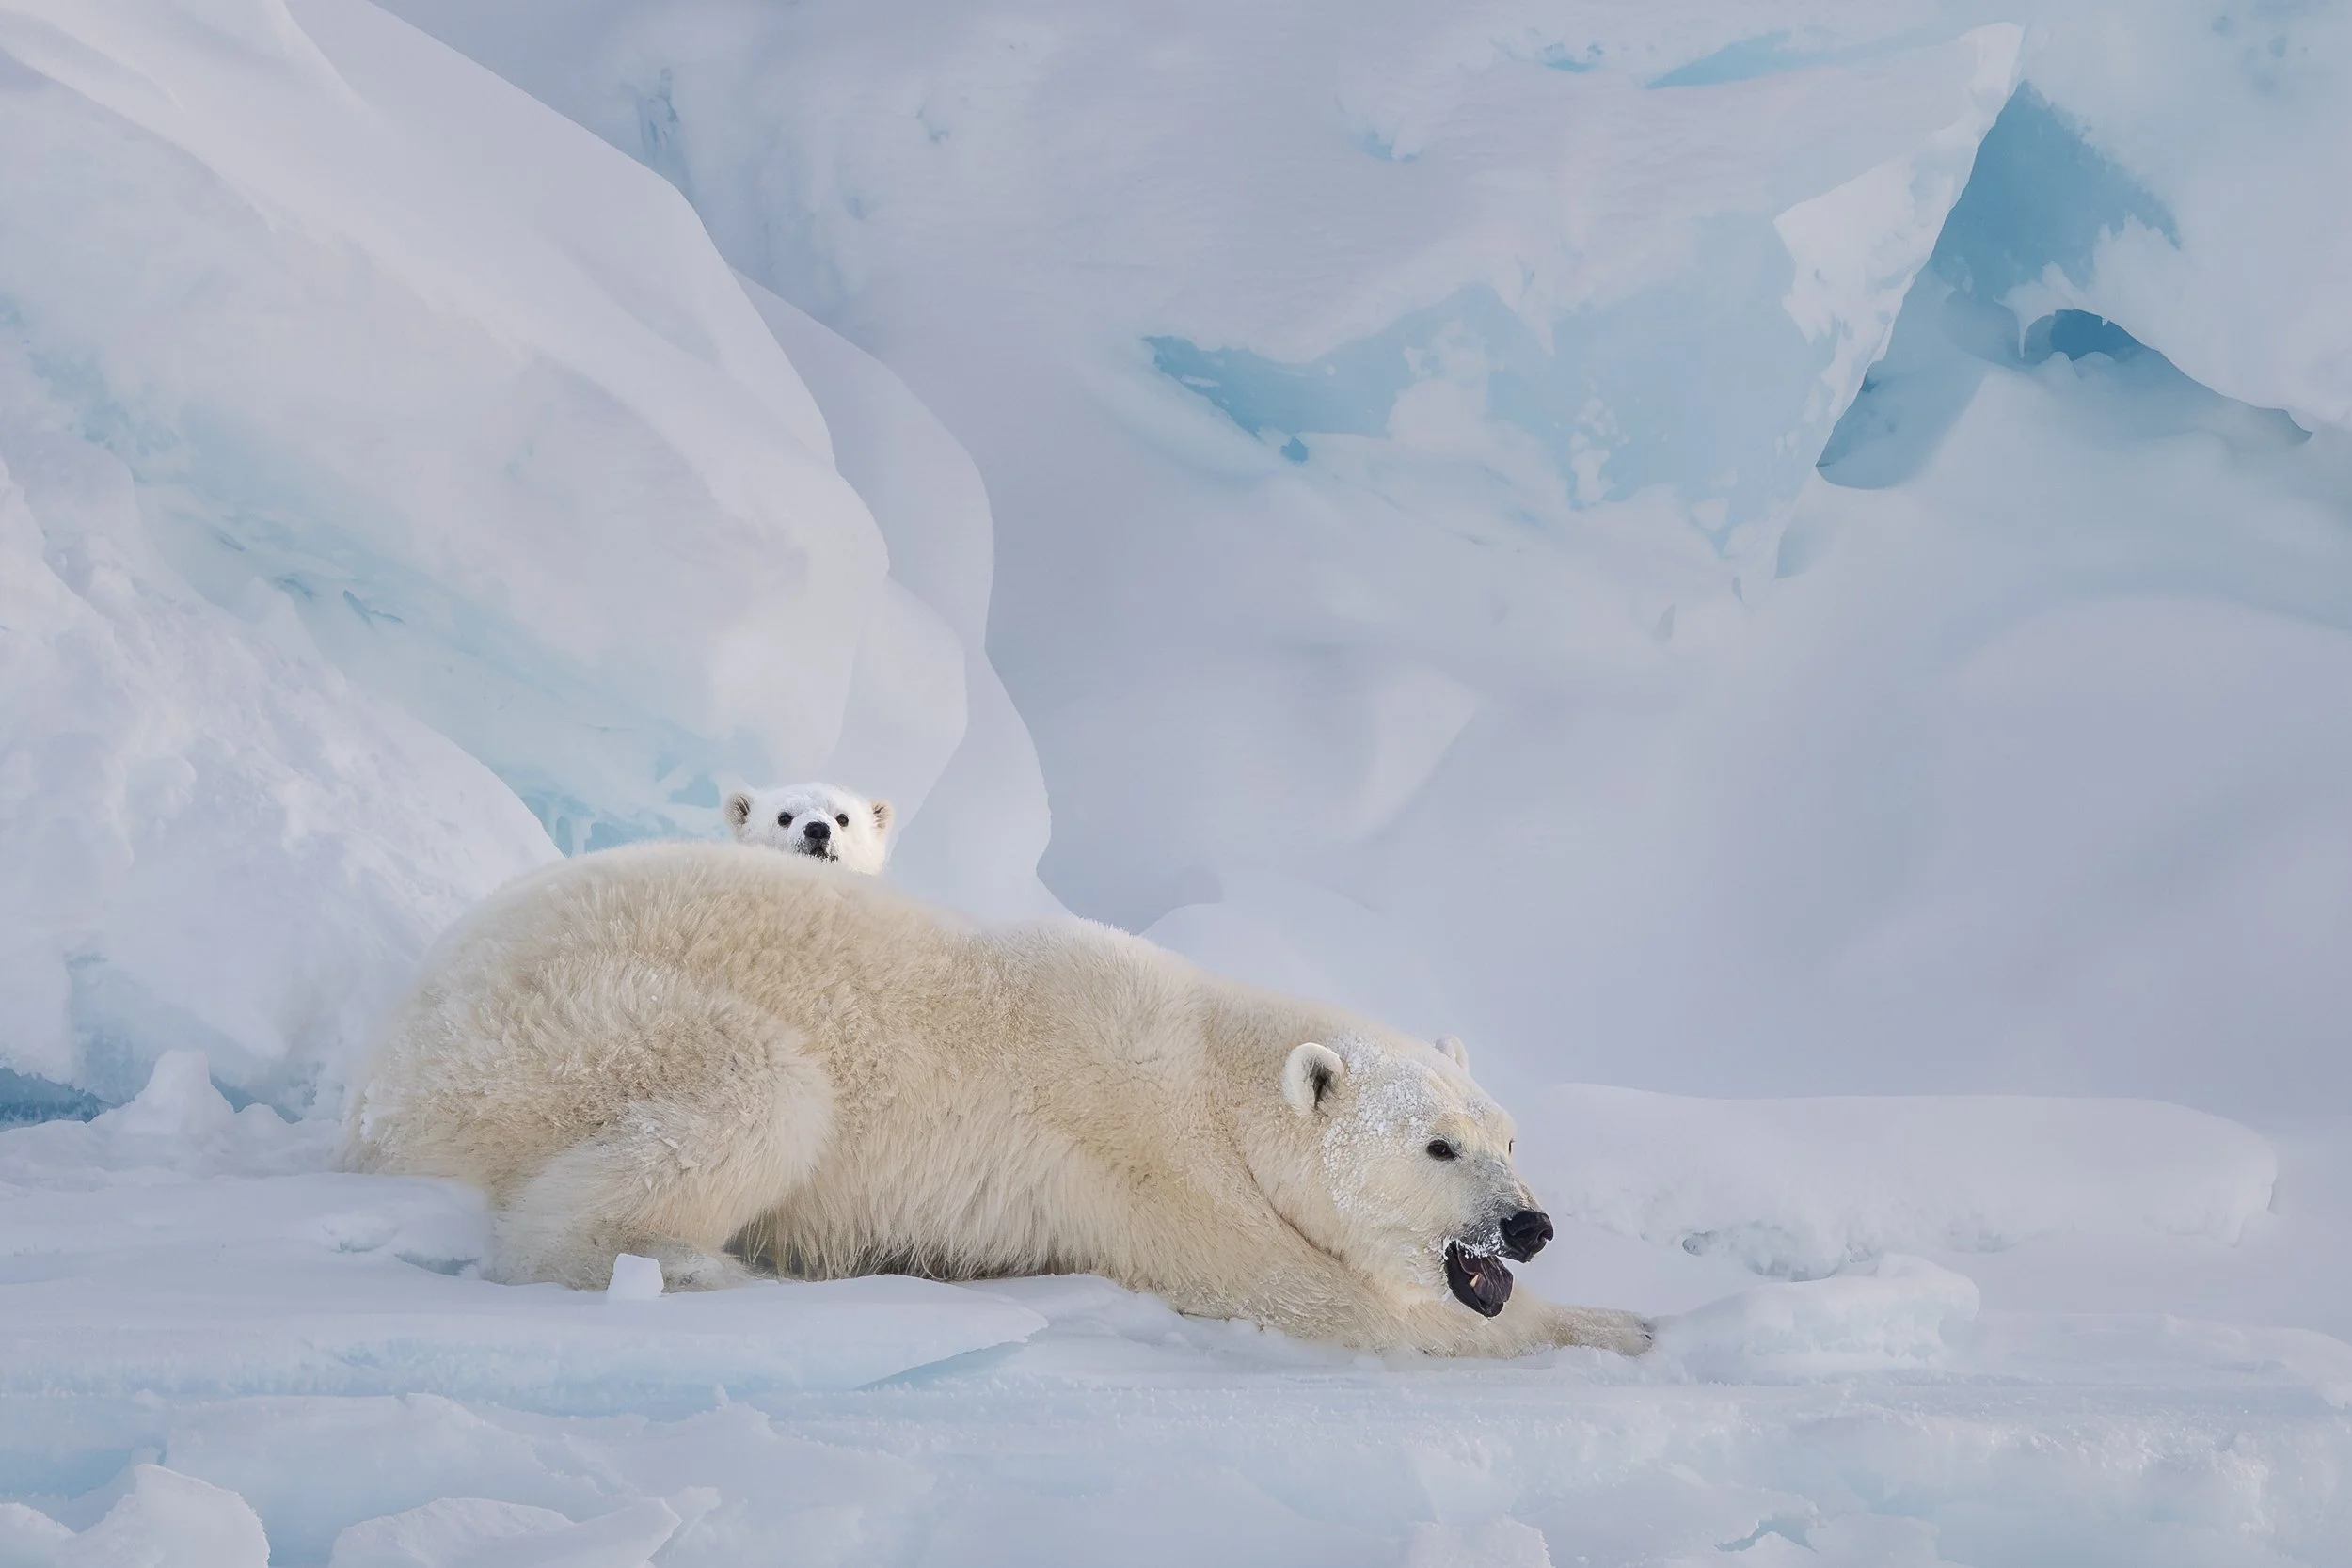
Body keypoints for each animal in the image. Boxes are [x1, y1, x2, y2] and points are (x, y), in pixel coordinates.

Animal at [342, 842, 1651, 1358]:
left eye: (1510, 1135)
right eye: (1436, 1145)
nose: (1530, 1222)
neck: (1210, 1066)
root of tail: (388, 1064)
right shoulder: (1160, 1170)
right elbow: (1327, 1302)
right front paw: (1626, 1327)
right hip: (571, 1029)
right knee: (759, 1092)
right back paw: (690, 1261)